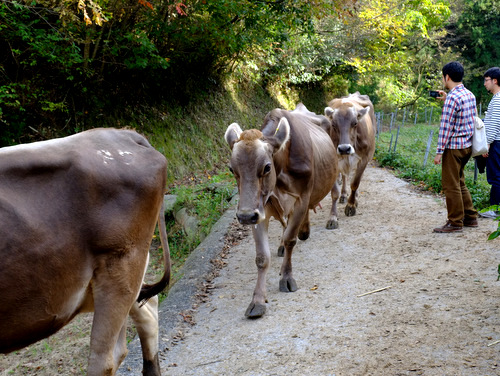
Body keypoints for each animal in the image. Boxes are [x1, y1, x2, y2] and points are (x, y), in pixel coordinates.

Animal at [225, 106, 338, 318]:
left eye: (267, 167)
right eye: (231, 169)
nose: (243, 216)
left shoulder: (301, 199)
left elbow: (290, 239)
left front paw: (286, 277)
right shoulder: (258, 210)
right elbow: (262, 257)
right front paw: (257, 300)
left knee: (335, 193)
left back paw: (332, 219)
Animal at [324, 91, 376, 229]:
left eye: (355, 123)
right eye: (333, 124)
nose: (344, 148)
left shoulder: (365, 158)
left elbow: (355, 183)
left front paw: (351, 205)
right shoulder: (334, 161)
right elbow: (334, 192)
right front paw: (332, 217)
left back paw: (354, 199)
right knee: (344, 176)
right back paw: (343, 195)